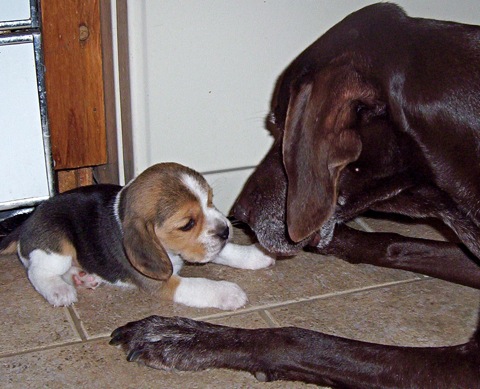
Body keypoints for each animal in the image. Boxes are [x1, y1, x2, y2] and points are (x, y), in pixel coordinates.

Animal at [0, 163, 276, 310]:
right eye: (187, 224)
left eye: (210, 201)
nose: (227, 230)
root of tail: (27, 221)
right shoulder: (165, 282)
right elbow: (201, 284)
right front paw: (229, 293)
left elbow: (226, 251)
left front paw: (255, 255)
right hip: (58, 245)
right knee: (37, 272)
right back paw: (60, 291)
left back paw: (83, 277)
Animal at [110, 4, 480, 386]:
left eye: (281, 125)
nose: (240, 215)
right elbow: (394, 243)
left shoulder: (467, 366)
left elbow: (298, 338)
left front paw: (185, 337)